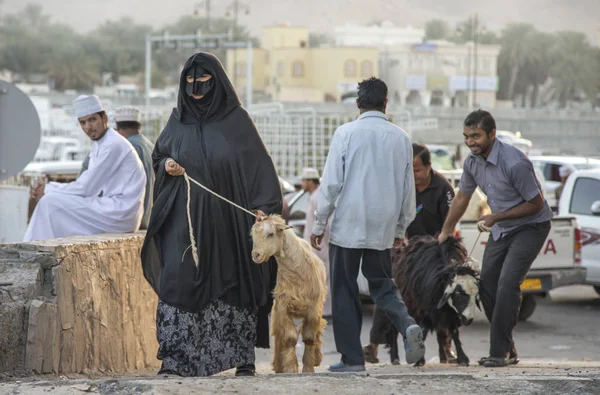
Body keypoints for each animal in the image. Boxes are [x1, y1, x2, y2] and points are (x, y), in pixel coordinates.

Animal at [250, 217, 328, 374]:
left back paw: (317, 358)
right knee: (278, 335)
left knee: (318, 329)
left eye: (271, 234)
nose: (256, 255)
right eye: (253, 235)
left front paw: (308, 368)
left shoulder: (313, 309)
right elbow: (289, 338)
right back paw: (278, 364)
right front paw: (290, 368)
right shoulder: (283, 306)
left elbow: (309, 338)